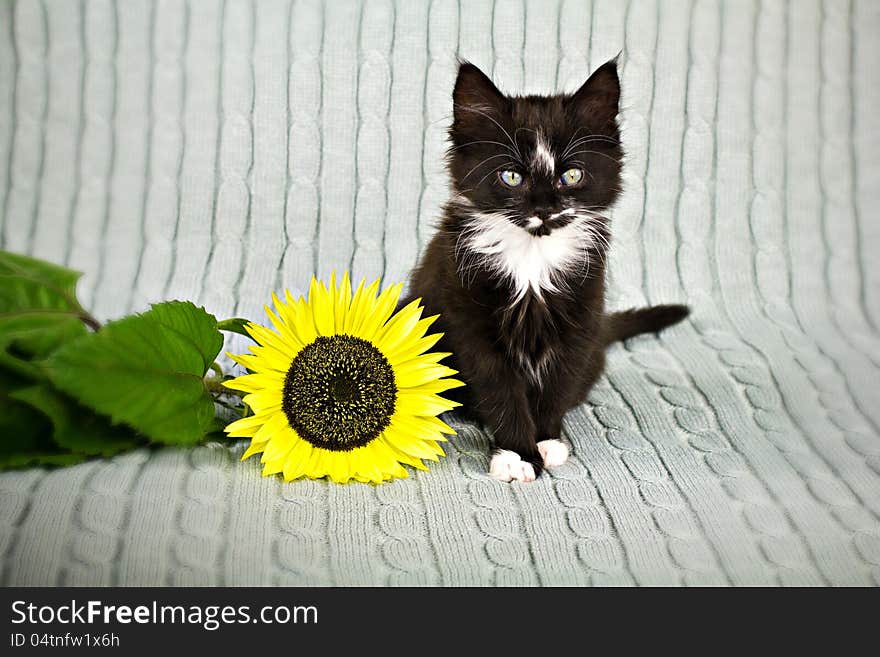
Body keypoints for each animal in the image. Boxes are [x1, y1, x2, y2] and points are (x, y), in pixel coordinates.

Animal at [402, 59, 692, 480]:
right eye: (512, 177)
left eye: (571, 175)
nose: (544, 208)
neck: (532, 258)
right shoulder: (470, 318)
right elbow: (501, 389)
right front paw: (517, 454)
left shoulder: (581, 316)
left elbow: (556, 386)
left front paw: (546, 441)